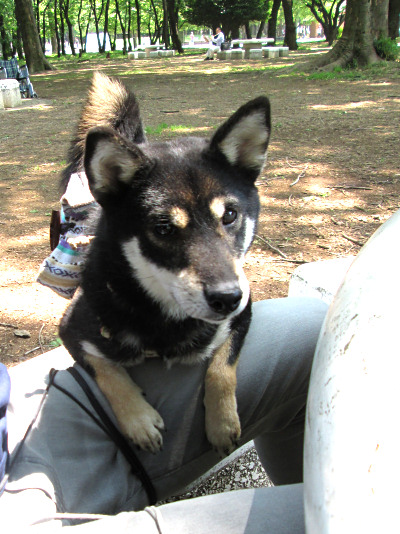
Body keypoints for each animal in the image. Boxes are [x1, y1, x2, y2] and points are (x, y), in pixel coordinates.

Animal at [59, 72, 271, 456]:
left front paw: (221, 423)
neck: (164, 320)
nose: (226, 298)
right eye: (163, 228)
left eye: (230, 215)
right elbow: (107, 372)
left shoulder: (244, 313)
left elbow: (222, 366)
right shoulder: (72, 329)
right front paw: (139, 420)